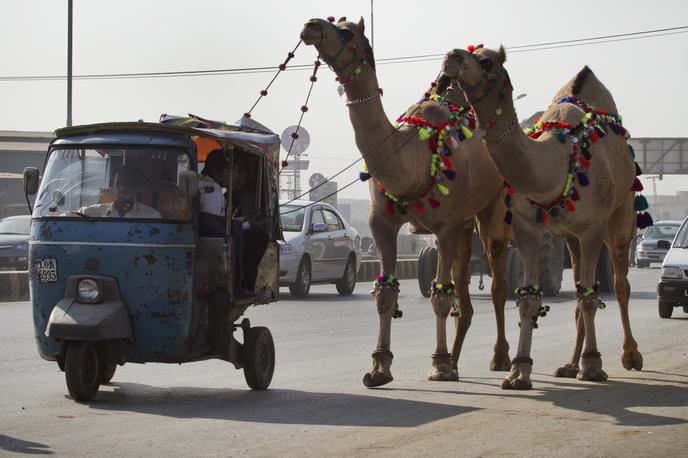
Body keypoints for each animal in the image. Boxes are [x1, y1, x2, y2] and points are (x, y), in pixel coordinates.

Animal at [298, 17, 512, 388]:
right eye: (337, 21)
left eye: (346, 31)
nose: (312, 25)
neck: (414, 159)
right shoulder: (381, 222)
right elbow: (386, 292)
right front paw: (379, 367)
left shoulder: (445, 225)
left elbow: (440, 295)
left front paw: (437, 365)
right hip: (464, 226)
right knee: (464, 292)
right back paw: (457, 362)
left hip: (491, 210)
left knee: (497, 283)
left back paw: (498, 359)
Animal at [440, 44, 644, 390]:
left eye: (486, 60)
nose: (451, 56)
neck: (557, 163)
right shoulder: (527, 226)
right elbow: (528, 298)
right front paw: (518, 371)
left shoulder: (592, 228)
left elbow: (591, 298)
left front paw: (593, 366)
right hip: (570, 236)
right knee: (580, 286)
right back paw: (570, 364)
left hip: (620, 215)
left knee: (619, 283)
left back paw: (629, 356)